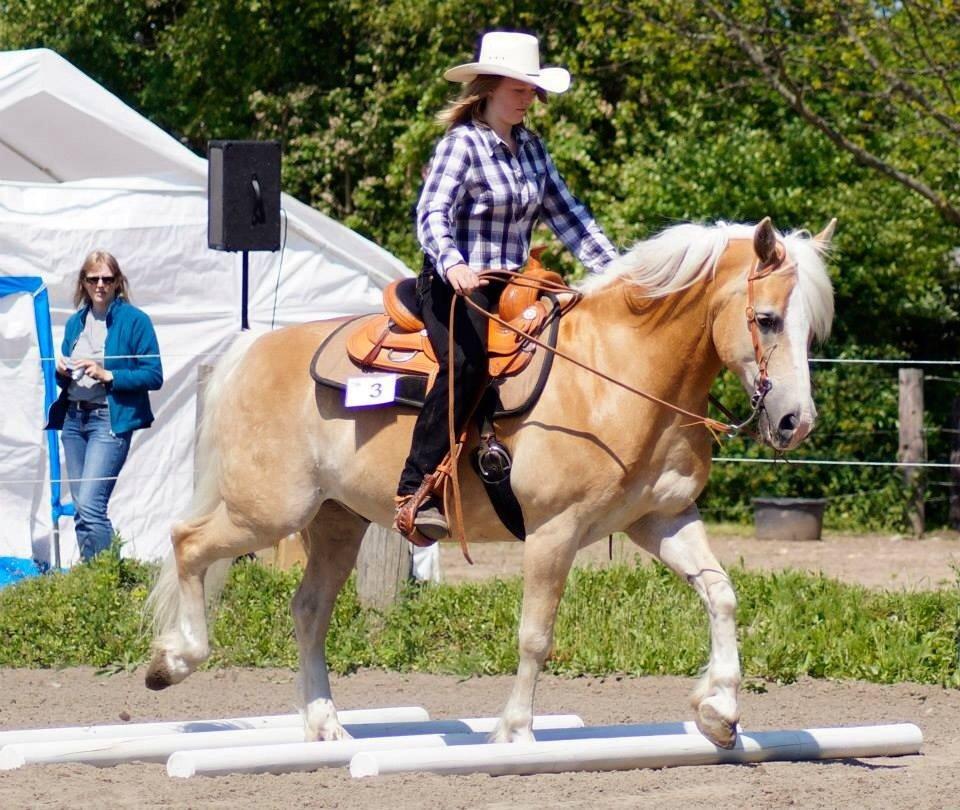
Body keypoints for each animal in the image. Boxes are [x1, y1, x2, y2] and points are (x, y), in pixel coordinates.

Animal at [146, 218, 836, 748]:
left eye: (809, 328)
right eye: (767, 319)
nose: (795, 422)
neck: (617, 373)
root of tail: (251, 350)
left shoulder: (661, 519)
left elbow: (721, 594)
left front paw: (720, 713)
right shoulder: (555, 531)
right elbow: (536, 635)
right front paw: (515, 731)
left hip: (337, 521)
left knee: (308, 610)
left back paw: (325, 726)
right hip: (269, 511)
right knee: (186, 542)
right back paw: (173, 661)